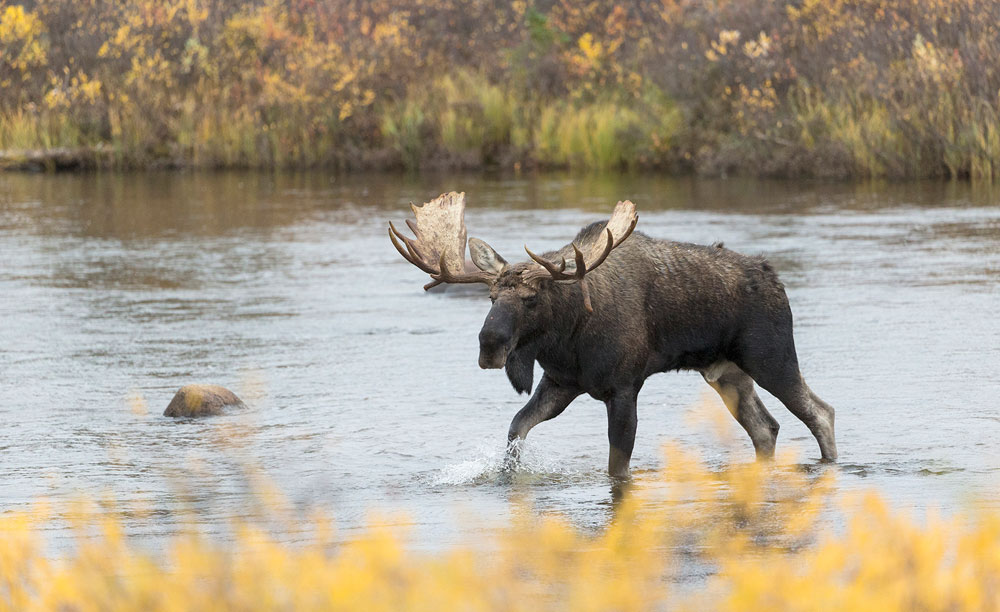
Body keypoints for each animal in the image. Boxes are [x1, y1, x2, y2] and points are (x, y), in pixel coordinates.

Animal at [390, 191, 836, 478]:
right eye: (491, 296)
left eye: (532, 299)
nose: (489, 346)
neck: (567, 339)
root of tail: (773, 276)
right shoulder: (561, 383)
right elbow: (517, 428)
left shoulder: (623, 387)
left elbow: (617, 468)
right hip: (725, 372)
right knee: (767, 427)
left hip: (771, 357)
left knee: (820, 412)